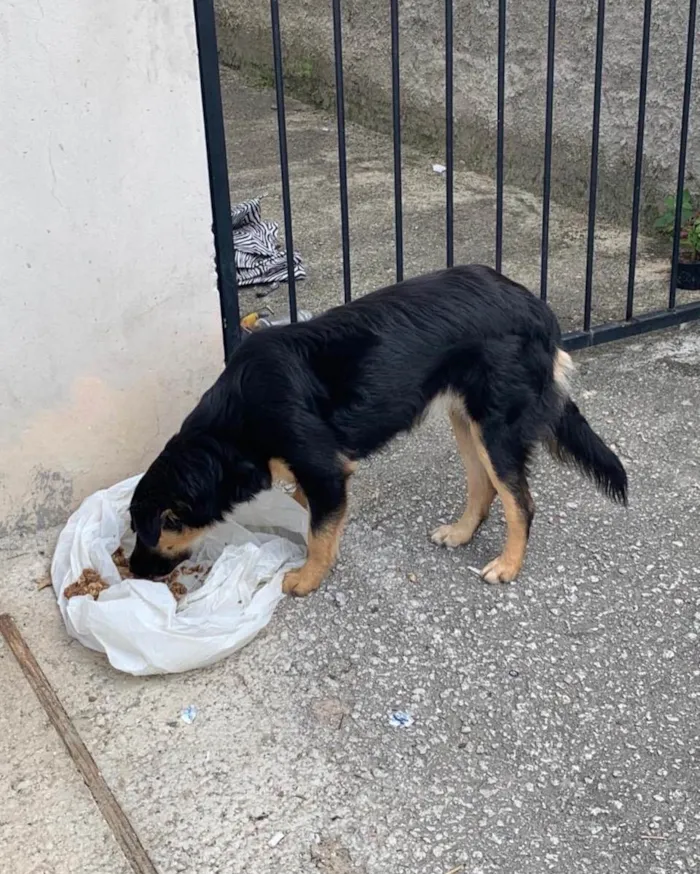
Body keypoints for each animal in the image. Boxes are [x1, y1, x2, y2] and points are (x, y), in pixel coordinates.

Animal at [130, 262, 628, 596]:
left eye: (145, 531)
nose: (133, 570)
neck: (231, 430)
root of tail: (539, 311)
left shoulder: (326, 472)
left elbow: (319, 535)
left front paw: (307, 578)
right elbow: (310, 513)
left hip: (496, 427)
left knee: (521, 502)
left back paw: (508, 565)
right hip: (466, 419)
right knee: (483, 486)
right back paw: (461, 533)